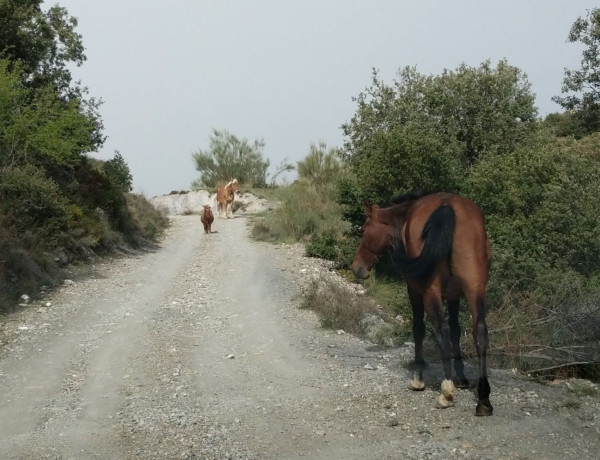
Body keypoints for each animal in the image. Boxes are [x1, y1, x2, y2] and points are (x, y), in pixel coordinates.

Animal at [352, 192, 492, 416]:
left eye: (364, 230)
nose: (357, 267)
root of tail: (448, 207)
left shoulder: (415, 291)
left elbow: (419, 329)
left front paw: (418, 379)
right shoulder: (454, 295)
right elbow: (456, 330)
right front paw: (460, 377)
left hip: (430, 292)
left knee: (441, 331)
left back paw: (446, 393)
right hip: (475, 288)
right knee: (479, 332)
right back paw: (484, 399)